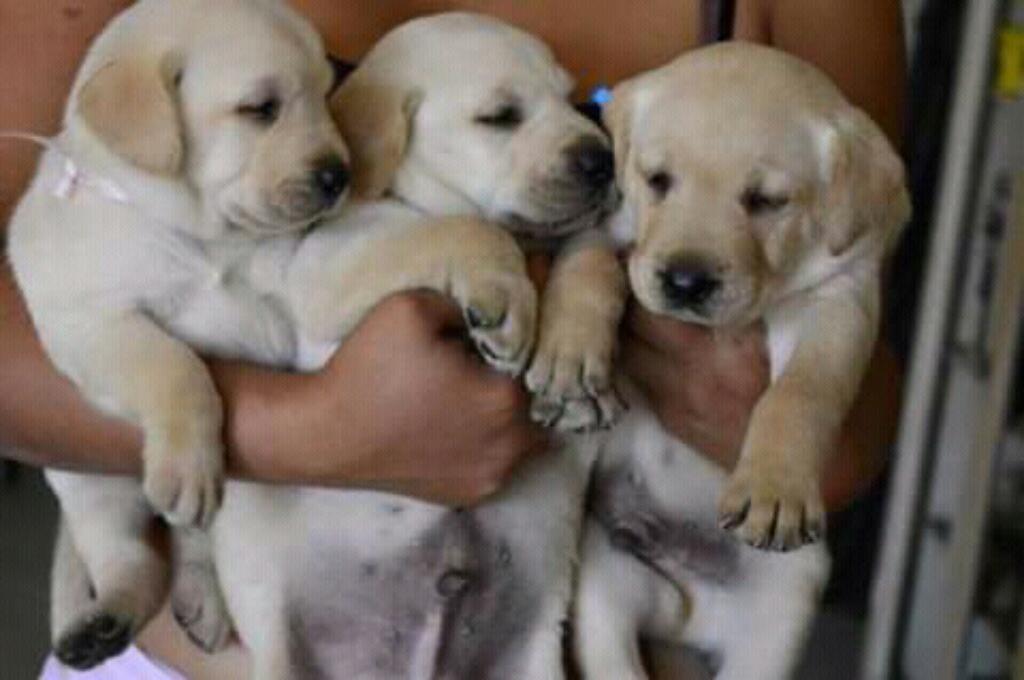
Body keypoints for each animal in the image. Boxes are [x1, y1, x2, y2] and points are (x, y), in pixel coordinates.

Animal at [577, 43, 913, 680]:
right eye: (658, 180)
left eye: (766, 201)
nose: (685, 281)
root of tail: (685, 607)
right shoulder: (607, 229)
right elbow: (586, 269)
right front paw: (569, 352)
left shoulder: (836, 300)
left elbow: (798, 393)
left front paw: (774, 485)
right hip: (603, 579)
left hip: (779, 611)